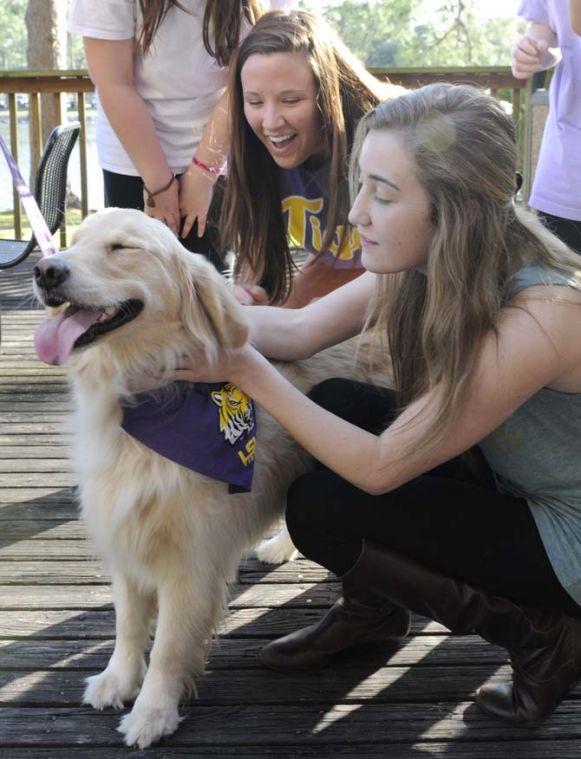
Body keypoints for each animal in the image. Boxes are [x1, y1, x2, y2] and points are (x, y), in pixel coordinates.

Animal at [34, 208, 382, 748]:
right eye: (73, 243)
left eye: (121, 247)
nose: (47, 271)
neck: (142, 401)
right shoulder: (125, 532)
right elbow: (128, 622)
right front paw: (117, 679)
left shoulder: (192, 559)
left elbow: (170, 645)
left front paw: (152, 712)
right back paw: (279, 545)